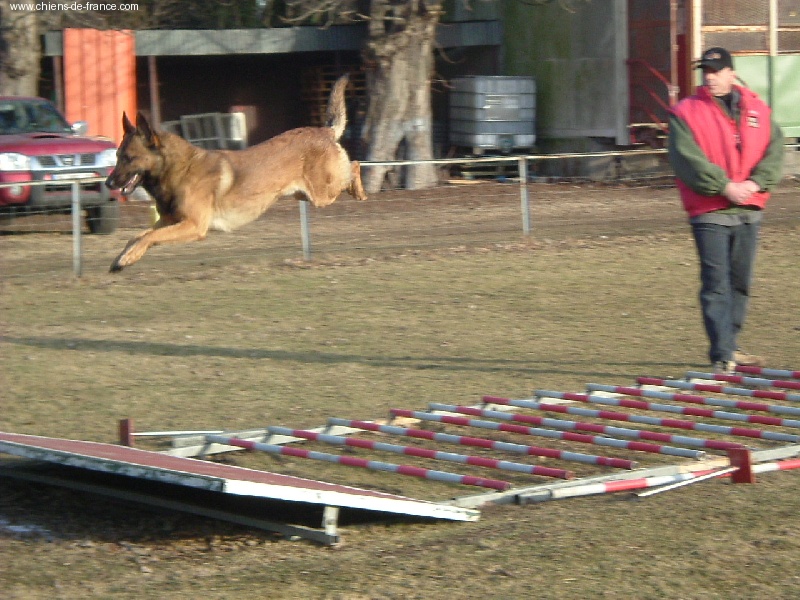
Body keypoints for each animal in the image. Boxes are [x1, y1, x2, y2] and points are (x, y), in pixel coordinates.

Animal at [104, 74, 368, 272]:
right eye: (117, 156)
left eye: (128, 158)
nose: (108, 183)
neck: (177, 169)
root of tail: (325, 131)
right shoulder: (170, 221)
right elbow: (138, 236)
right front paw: (123, 258)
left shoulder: (193, 226)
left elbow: (148, 237)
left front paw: (126, 258)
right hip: (305, 194)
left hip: (322, 193)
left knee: (354, 165)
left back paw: (361, 192)